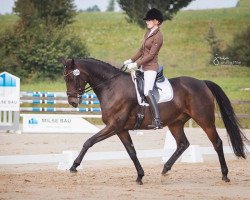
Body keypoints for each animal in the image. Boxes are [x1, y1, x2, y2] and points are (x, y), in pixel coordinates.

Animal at [60, 57, 248, 184]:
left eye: (71, 78)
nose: (73, 102)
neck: (111, 87)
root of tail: (202, 82)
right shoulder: (121, 129)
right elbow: (131, 152)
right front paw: (140, 176)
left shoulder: (114, 126)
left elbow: (89, 142)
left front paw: (74, 166)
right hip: (175, 123)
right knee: (183, 144)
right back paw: (165, 169)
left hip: (204, 120)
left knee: (217, 143)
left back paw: (224, 175)